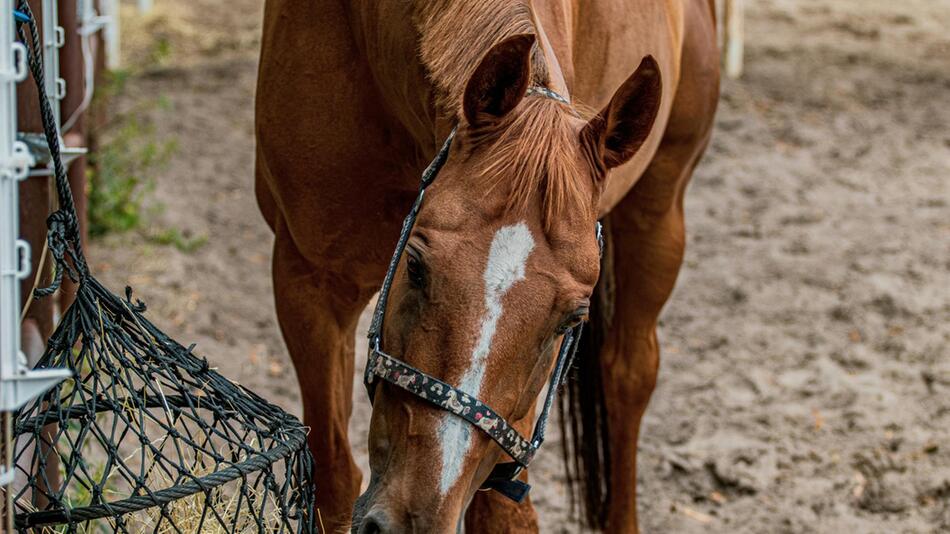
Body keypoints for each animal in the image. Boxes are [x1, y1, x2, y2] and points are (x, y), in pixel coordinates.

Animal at [256, 0, 716, 532]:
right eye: (416, 266)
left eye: (570, 320)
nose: (411, 521)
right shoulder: (310, 283)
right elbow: (331, 476)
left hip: (660, 212)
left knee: (628, 374)